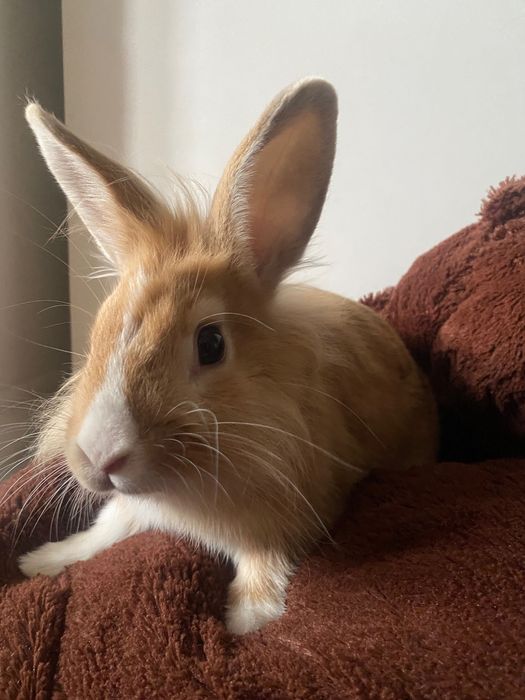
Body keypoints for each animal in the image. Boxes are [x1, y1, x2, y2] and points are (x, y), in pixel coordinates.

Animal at [18, 78, 438, 634]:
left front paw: (244, 621)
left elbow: (264, 564)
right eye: (98, 330)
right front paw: (40, 561)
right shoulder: (130, 511)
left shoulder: (286, 516)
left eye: (211, 343)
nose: (99, 457)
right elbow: (107, 527)